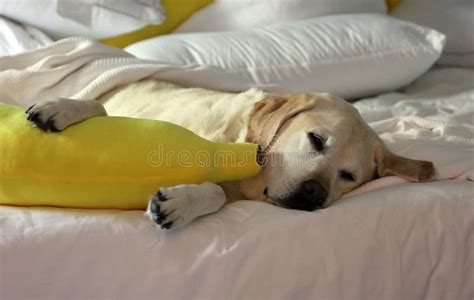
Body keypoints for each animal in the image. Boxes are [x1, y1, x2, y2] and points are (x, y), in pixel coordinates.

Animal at [25, 79, 434, 230]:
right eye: (316, 140)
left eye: (348, 176)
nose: (314, 195)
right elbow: (100, 106)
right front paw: (63, 107)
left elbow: (217, 193)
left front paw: (181, 203)